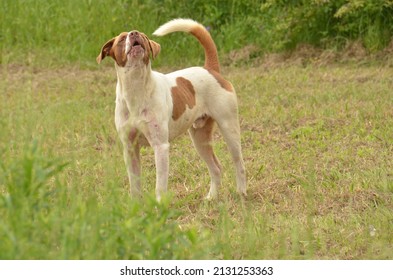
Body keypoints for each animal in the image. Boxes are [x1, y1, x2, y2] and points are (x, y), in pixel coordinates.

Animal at [96, 18, 245, 200]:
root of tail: (210, 69)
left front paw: (159, 205)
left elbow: (160, 186)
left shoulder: (160, 146)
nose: (134, 33)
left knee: (239, 163)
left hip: (229, 129)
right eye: (122, 39)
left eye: (143, 36)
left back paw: (242, 192)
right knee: (216, 168)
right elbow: (135, 184)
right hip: (200, 138)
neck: (137, 90)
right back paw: (211, 197)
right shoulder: (130, 148)